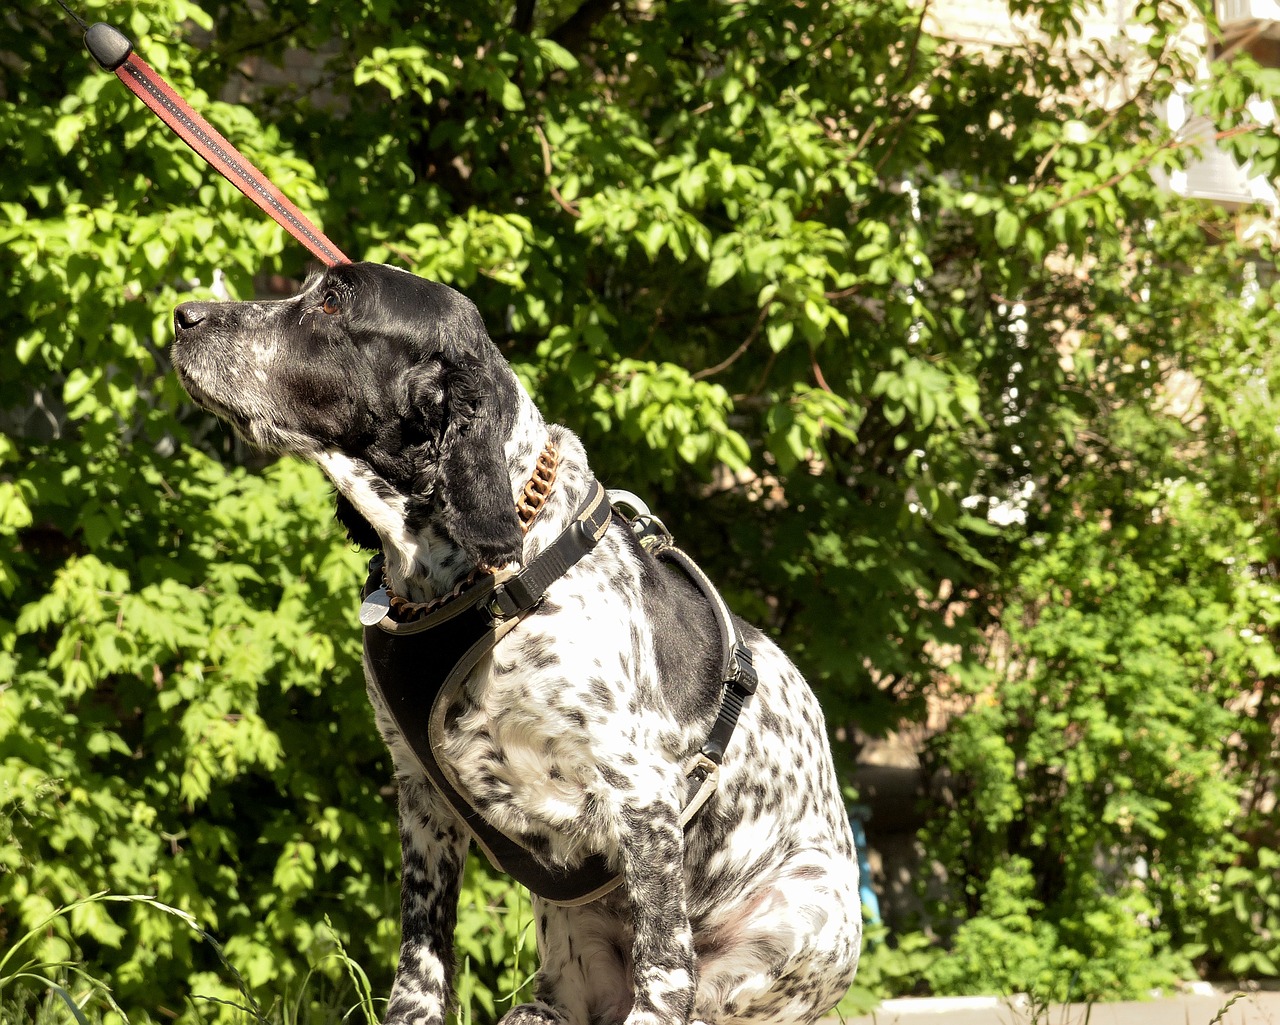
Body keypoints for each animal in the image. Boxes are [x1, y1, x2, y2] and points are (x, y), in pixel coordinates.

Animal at [170, 262, 860, 1023]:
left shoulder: (642, 792)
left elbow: (664, 965)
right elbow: (421, 954)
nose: (183, 315)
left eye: (332, 301)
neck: (472, 578)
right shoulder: (420, 791)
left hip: (801, 913)